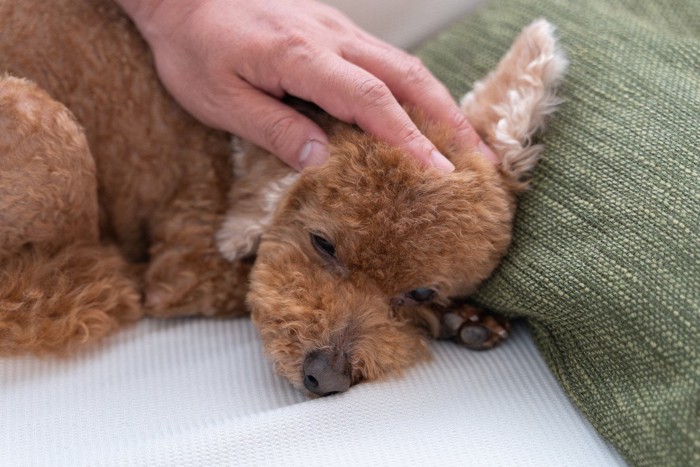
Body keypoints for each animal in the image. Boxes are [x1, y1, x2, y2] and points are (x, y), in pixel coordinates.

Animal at [0, 0, 564, 396]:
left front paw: (466, 317)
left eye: (421, 292)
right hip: (38, 115)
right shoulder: (186, 269)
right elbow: (231, 281)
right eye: (322, 244)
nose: (326, 377)